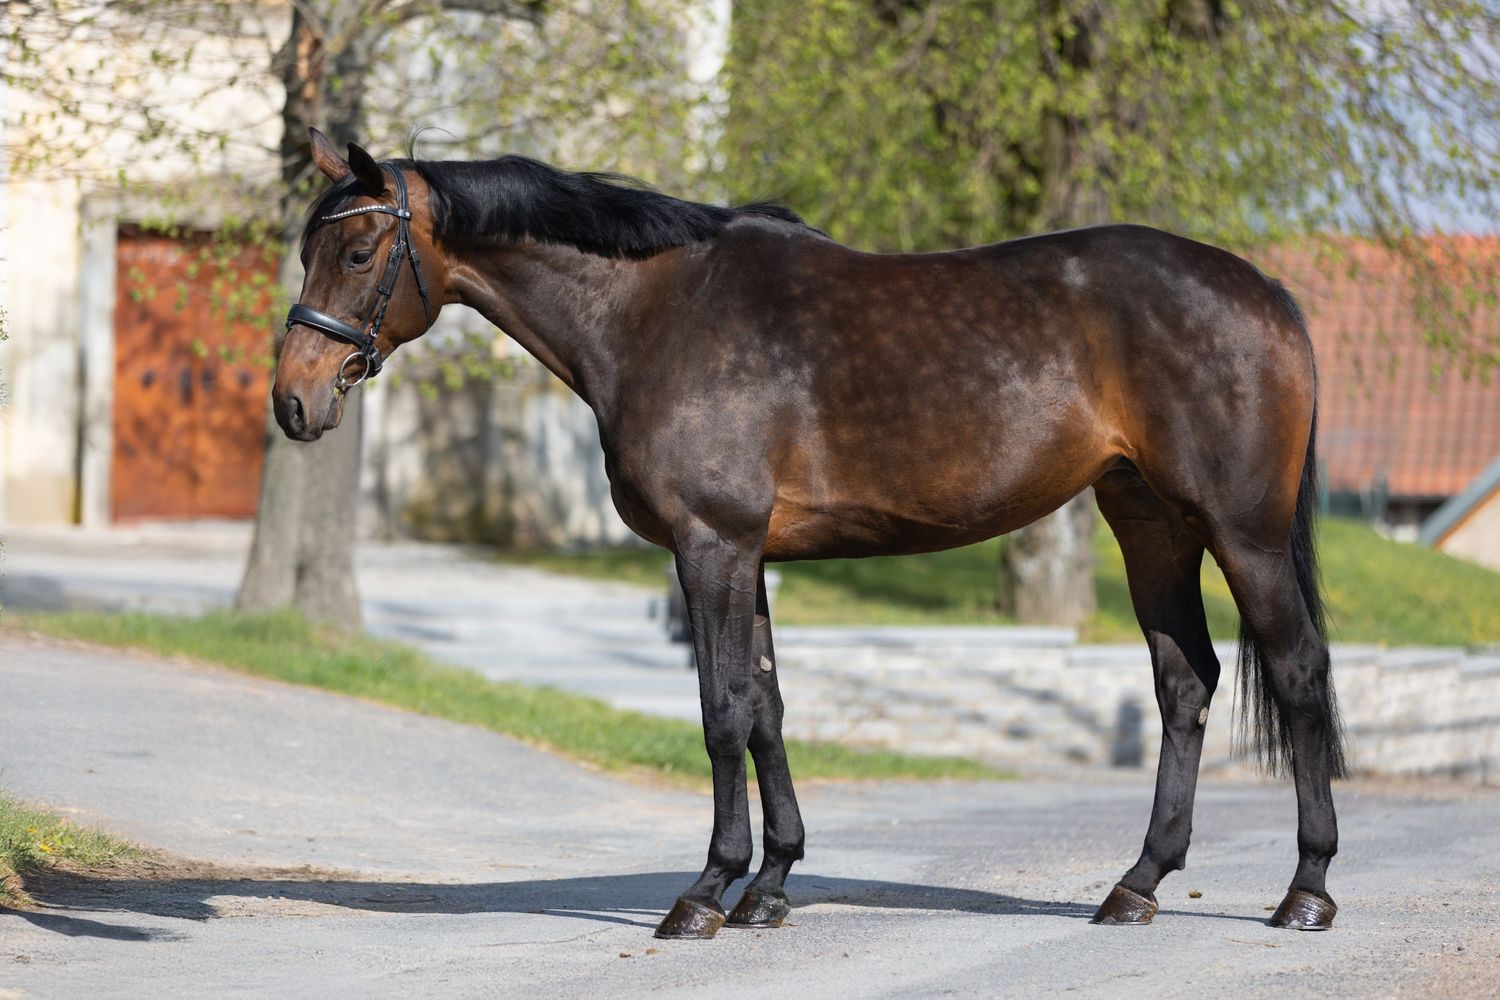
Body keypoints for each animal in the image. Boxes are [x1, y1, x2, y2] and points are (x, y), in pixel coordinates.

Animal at [274, 127, 1347, 939]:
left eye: (359, 254)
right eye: (308, 251)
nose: (293, 402)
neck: (657, 310)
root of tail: (1267, 292)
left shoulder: (709, 545)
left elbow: (719, 712)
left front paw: (706, 894)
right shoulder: (748, 555)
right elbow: (767, 707)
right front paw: (771, 886)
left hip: (1241, 532)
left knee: (1296, 673)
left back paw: (1306, 891)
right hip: (1149, 523)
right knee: (1185, 684)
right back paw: (1137, 885)